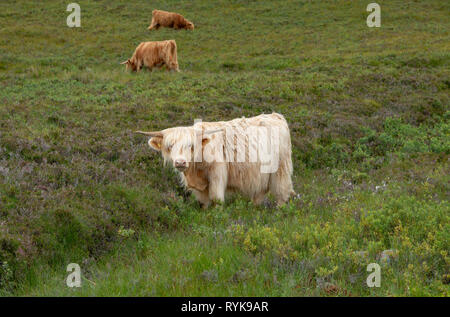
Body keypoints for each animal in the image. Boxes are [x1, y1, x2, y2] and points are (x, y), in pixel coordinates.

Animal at [135, 113, 294, 207]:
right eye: (170, 146)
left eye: (191, 145)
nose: (180, 162)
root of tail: (276, 116)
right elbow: (203, 202)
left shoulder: (217, 175)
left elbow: (216, 199)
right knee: (260, 193)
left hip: (281, 170)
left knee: (282, 193)